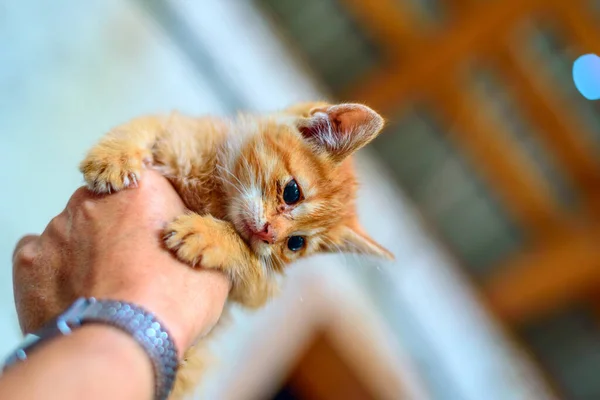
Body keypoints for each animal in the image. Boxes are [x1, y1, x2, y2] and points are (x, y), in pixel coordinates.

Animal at [81, 102, 394, 396]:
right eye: (292, 192)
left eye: (295, 243)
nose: (269, 234)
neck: (217, 194)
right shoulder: (182, 129)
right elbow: (148, 122)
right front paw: (114, 156)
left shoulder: (262, 288)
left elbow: (250, 258)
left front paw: (210, 236)